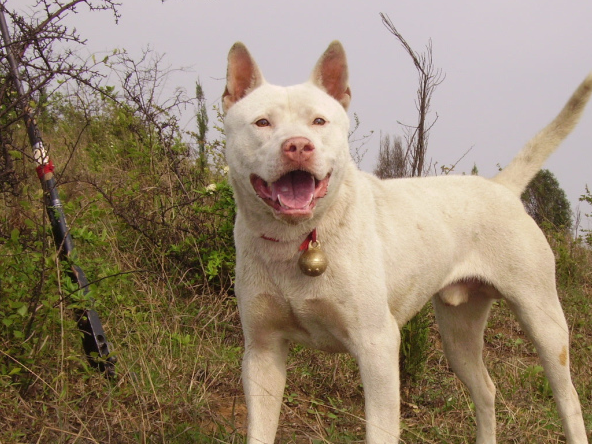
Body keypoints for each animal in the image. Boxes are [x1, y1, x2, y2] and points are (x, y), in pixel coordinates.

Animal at [222, 40, 592, 442]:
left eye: (319, 122)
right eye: (262, 122)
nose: (298, 146)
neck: (299, 238)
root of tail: (501, 187)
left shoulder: (378, 347)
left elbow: (380, 429)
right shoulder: (262, 353)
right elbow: (260, 430)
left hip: (545, 324)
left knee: (568, 400)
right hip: (459, 334)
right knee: (486, 390)